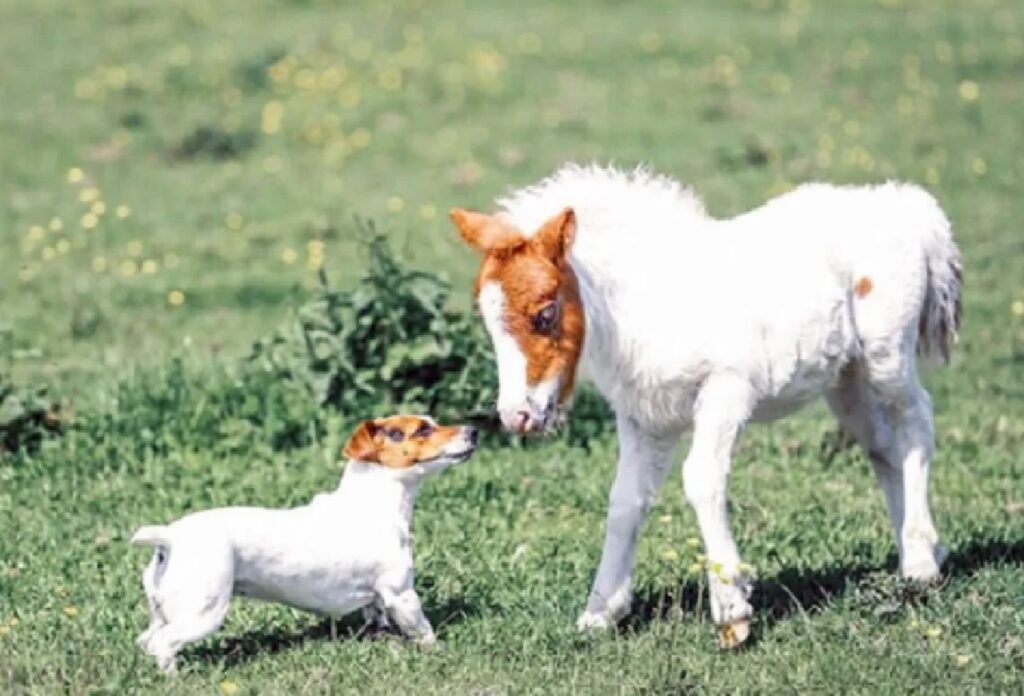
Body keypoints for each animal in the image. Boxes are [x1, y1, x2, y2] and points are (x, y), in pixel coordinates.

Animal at [130, 415, 477, 671]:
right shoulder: (402, 594)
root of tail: (170, 538)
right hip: (204, 612)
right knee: (163, 643)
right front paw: (440, 651)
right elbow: (423, 630)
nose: (474, 430)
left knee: (146, 640)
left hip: (163, 610)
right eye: (422, 429)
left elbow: (376, 620)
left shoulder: (377, 599)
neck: (374, 504)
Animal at [448, 162, 958, 646]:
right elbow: (625, 499)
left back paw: (920, 563)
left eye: (545, 313)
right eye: (489, 324)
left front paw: (733, 612)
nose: (517, 416)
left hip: (885, 356)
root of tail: (903, 203)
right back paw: (922, 553)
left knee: (918, 421)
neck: (648, 306)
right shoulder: (645, 419)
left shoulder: (726, 391)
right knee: (884, 448)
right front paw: (600, 613)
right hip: (847, 382)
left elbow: (702, 480)